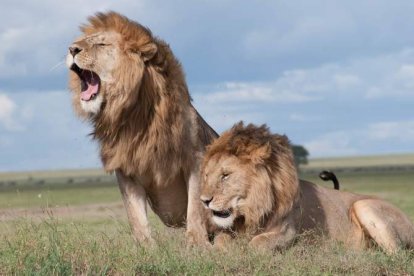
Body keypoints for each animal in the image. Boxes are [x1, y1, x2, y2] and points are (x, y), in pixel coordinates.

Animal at [65, 11, 217, 245]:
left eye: (101, 44)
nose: (72, 49)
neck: (134, 116)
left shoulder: (196, 159)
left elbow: (195, 208)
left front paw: (197, 244)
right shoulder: (126, 169)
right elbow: (135, 215)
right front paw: (146, 247)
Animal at [199, 122, 412, 253]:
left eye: (225, 175)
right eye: (207, 176)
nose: (204, 201)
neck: (252, 210)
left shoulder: (288, 232)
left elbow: (257, 243)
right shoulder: (229, 230)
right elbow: (221, 241)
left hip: (364, 205)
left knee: (398, 254)